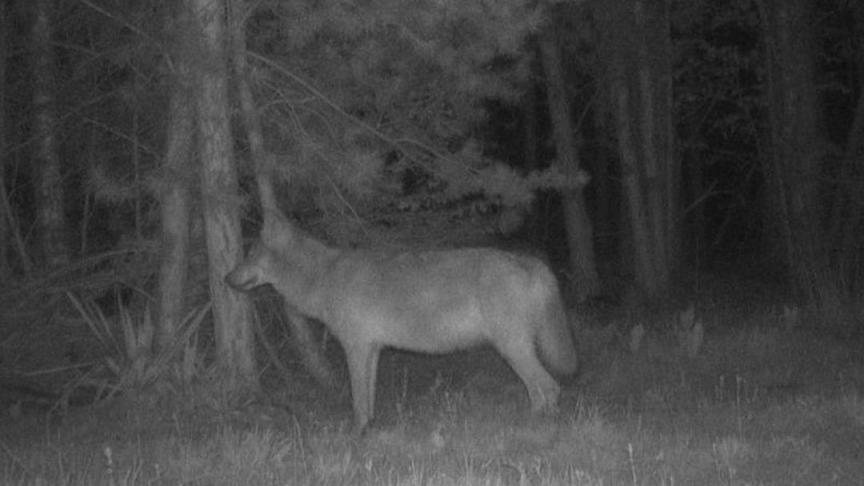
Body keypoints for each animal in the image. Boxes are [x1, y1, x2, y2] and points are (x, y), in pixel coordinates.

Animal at [228, 215, 580, 430]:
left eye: (249, 254)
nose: (225, 277)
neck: (323, 277)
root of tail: (530, 261)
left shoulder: (356, 348)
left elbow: (358, 401)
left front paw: (356, 436)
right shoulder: (372, 350)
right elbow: (368, 398)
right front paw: (369, 429)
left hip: (511, 350)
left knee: (549, 387)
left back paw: (537, 428)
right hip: (514, 350)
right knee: (540, 390)